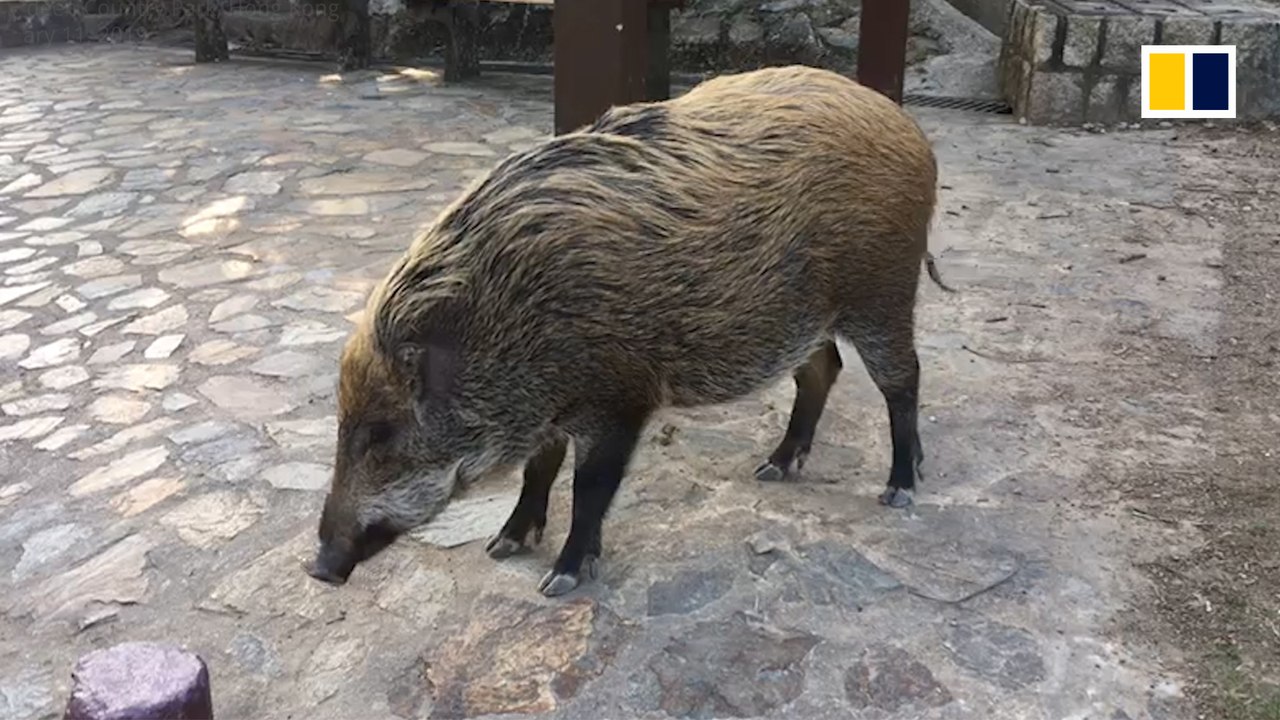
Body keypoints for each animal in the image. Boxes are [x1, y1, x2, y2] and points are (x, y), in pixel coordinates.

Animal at [308, 63, 950, 597]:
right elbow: (539, 470)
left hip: (883, 294)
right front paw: (502, 546)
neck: (507, 318)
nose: (319, 568)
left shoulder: (620, 397)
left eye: (382, 432)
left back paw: (899, 489)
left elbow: (589, 487)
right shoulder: (552, 408)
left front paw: (559, 581)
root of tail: (911, 130)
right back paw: (773, 468)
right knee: (823, 369)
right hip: (806, 319)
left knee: (904, 380)